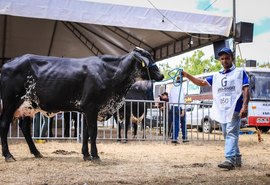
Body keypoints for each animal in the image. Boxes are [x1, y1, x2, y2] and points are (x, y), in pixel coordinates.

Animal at [0, 47, 163, 161]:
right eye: (148, 59)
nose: (161, 75)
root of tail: (9, 62)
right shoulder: (91, 107)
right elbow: (93, 132)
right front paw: (95, 156)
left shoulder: (87, 110)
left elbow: (85, 133)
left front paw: (86, 155)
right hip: (10, 102)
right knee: (4, 124)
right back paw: (8, 155)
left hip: (28, 106)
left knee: (25, 128)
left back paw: (37, 153)